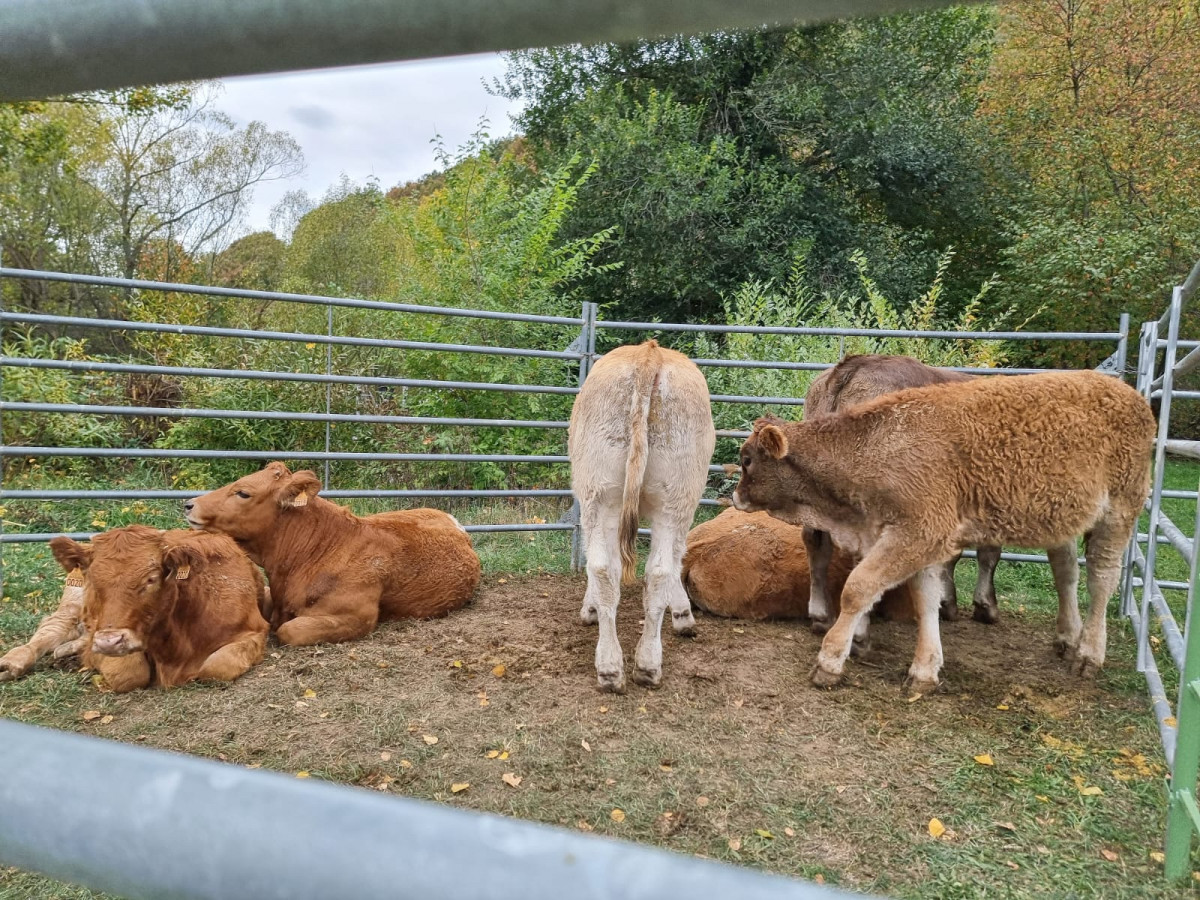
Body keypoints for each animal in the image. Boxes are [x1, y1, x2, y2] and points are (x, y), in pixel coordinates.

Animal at [49, 525, 270, 696]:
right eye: (93, 580)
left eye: (151, 579)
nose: (109, 642)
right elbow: (129, 673)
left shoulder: (254, 631)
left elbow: (216, 667)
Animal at [729, 369, 1152, 696]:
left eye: (747, 459)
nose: (735, 495)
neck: (874, 445)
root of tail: (1129, 394)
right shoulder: (918, 541)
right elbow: (926, 598)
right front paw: (925, 670)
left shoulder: (917, 534)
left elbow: (859, 588)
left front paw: (830, 661)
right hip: (1063, 521)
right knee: (1066, 571)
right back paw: (1067, 637)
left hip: (1119, 512)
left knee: (1102, 577)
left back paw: (1089, 654)